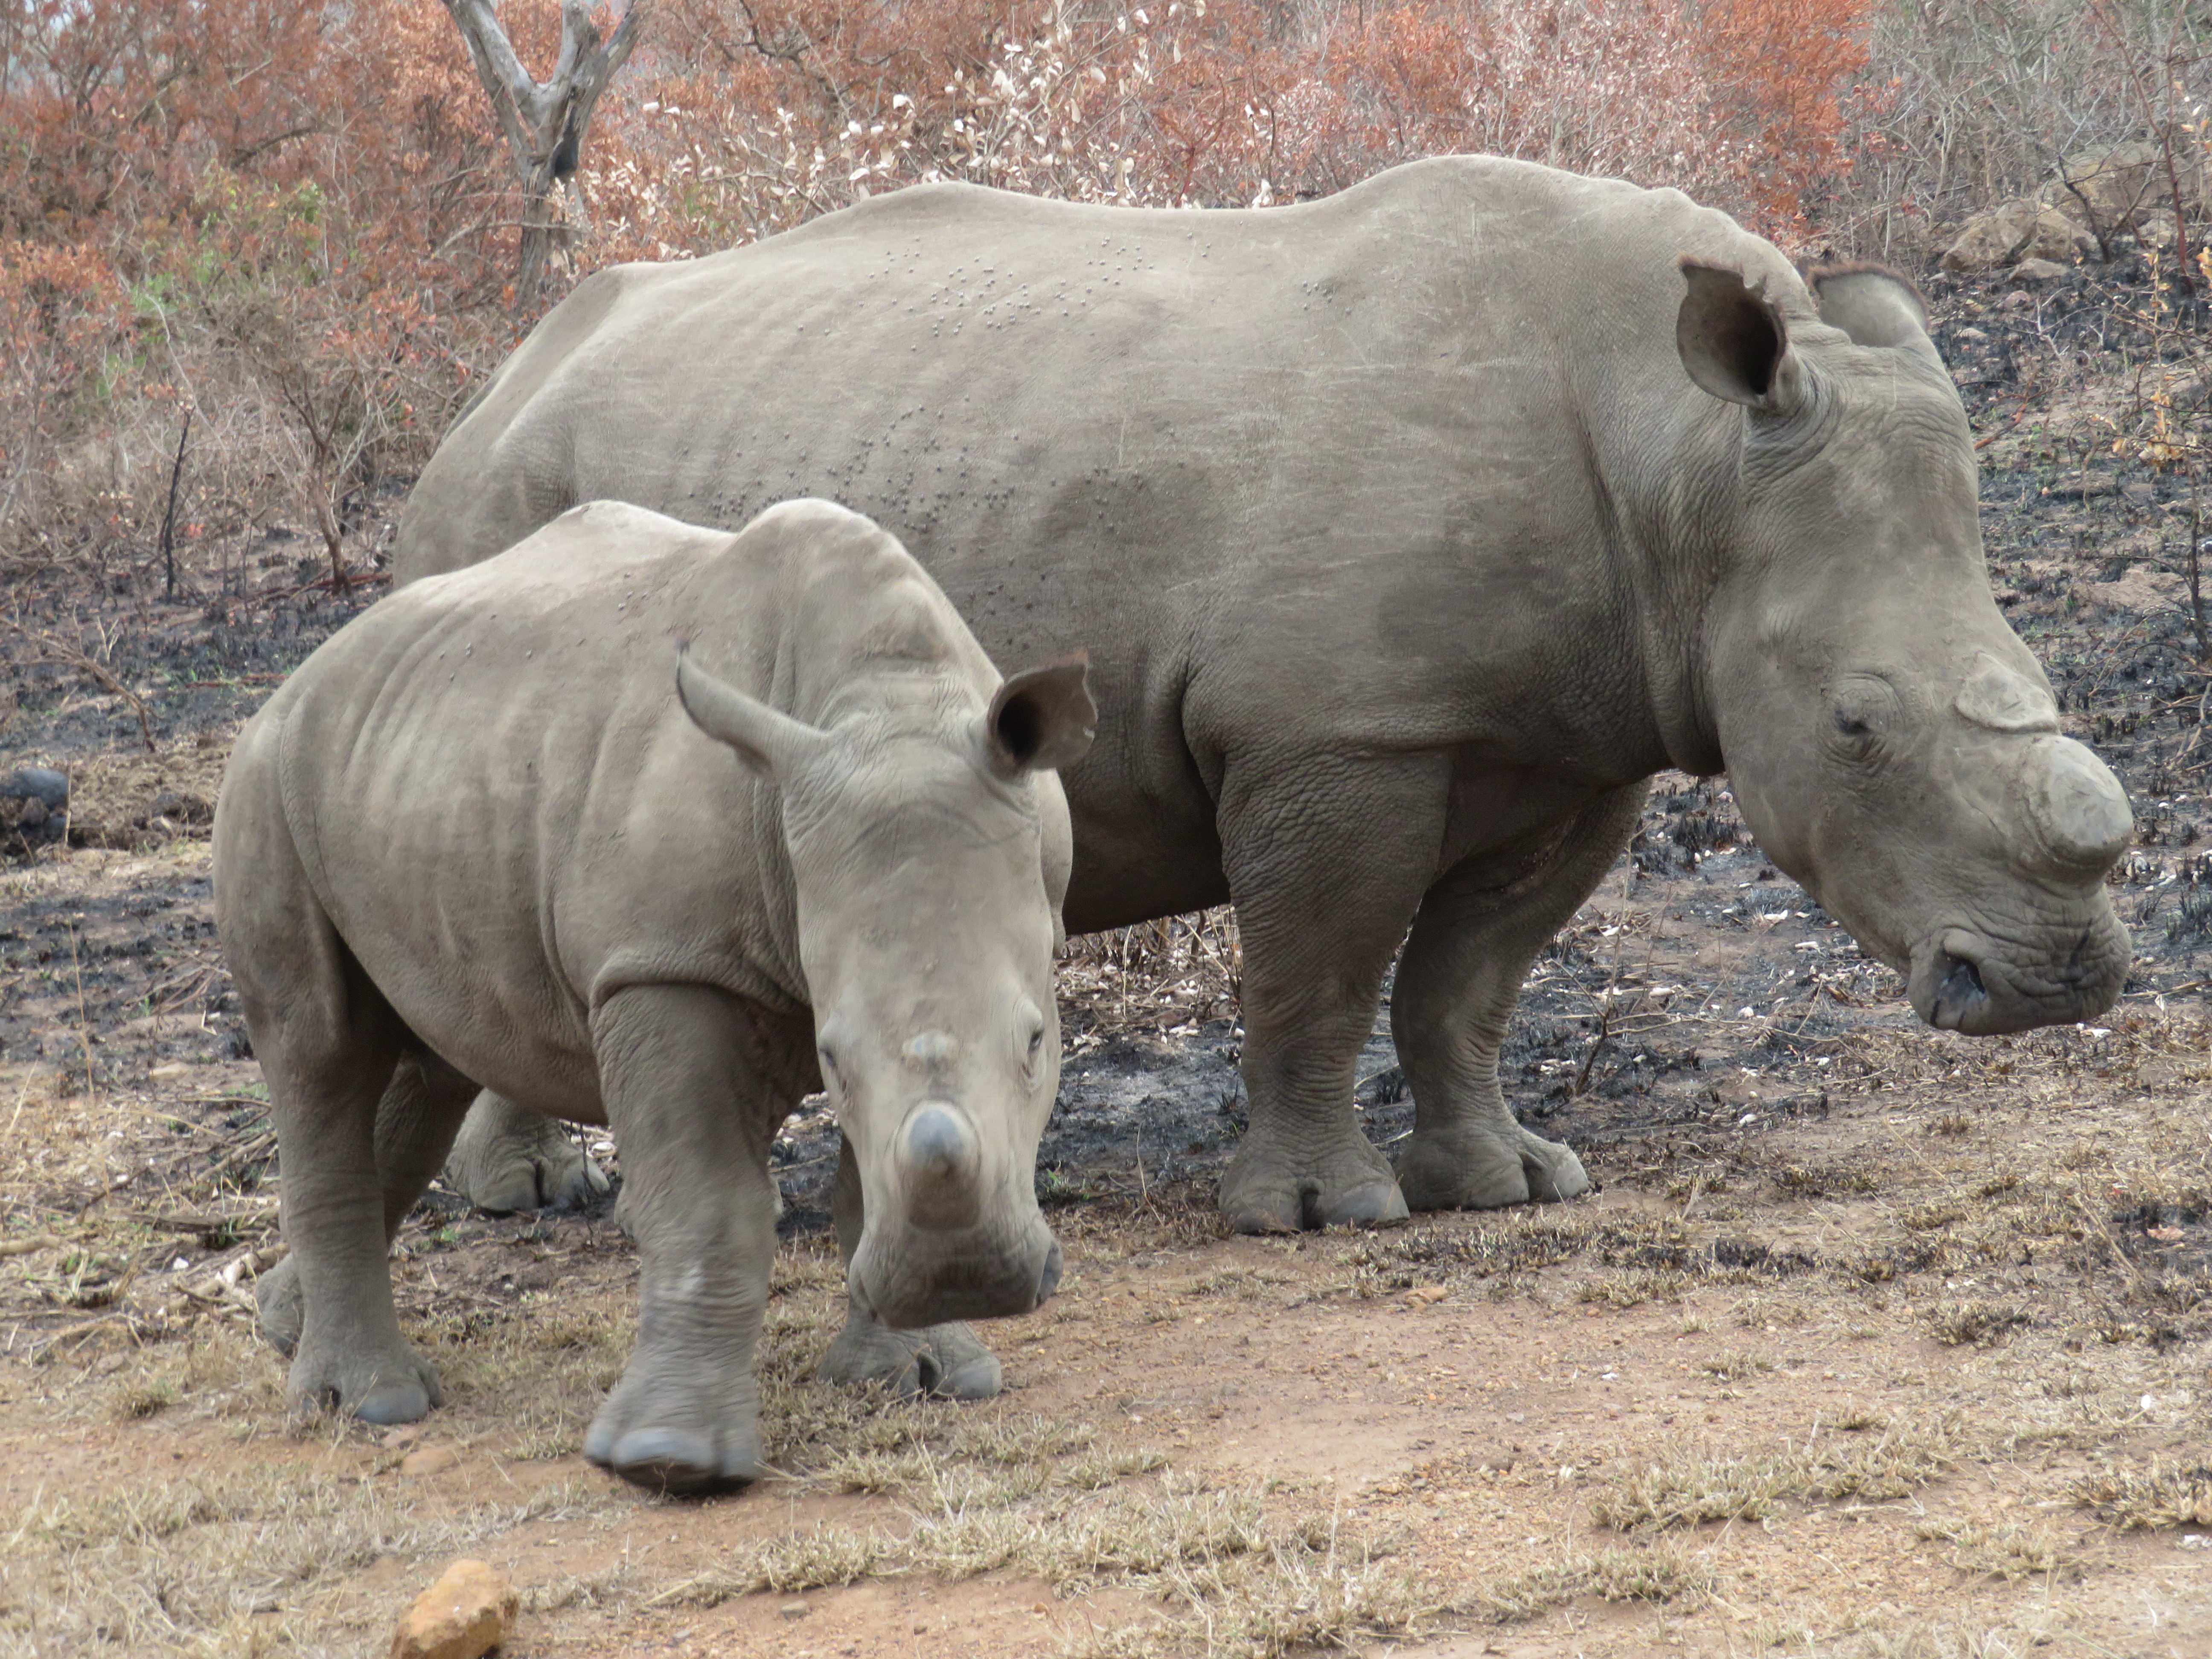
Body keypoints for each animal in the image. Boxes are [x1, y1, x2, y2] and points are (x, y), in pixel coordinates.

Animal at [214, 498, 1095, 1491]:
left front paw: (927, 1376)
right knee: (319, 1051)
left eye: (1037, 1044)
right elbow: (708, 1198)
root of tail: (299, 673)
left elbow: (868, 1175)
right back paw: (367, 1405)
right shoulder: (663, 961)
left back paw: (282, 1328)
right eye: (833, 1059)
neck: (890, 704)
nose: (969, 1277)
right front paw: (668, 1461)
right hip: (267, 777)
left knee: (431, 1058)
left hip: (419, 765)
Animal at [400, 156, 2133, 1243]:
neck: (1682, 456)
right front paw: (1321, 1215)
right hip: (497, 507)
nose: (2053, 981)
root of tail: (493, 379)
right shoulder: (1334, 728)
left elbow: (1470, 978)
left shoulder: (1580, 736)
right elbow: (1323, 965)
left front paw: (1510, 1181)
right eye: (1857, 726)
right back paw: (550, 1207)